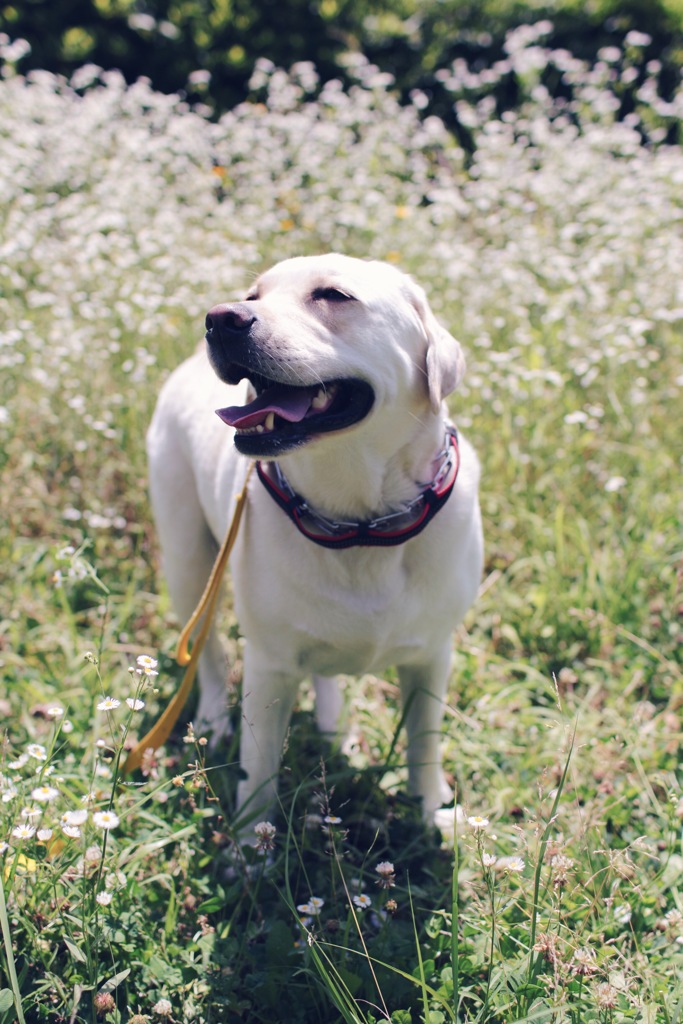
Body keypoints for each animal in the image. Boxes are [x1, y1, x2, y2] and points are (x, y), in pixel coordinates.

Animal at [147, 253, 483, 823]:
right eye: (253, 296)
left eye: (333, 295)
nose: (220, 318)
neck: (358, 524)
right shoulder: (270, 666)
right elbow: (259, 770)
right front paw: (250, 841)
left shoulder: (431, 658)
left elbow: (425, 745)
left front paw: (429, 815)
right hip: (189, 562)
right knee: (208, 653)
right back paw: (213, 717)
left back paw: (332, 727)